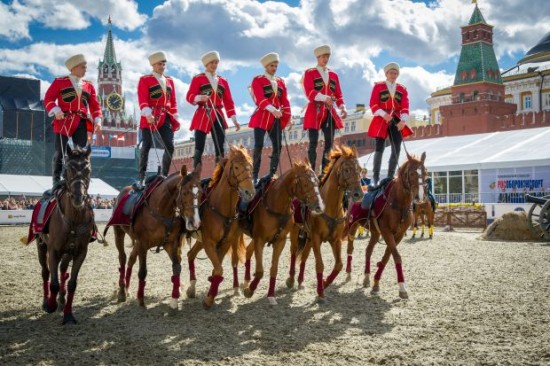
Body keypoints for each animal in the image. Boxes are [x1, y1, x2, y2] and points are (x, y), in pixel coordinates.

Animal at [25, 144, 94, 324]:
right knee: (46, 272)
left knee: (63, 270)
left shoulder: (80, 252)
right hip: (41, 246)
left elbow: (72, 283)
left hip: (67, 252)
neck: (74, 219)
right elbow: (53, 282)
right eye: (68, 168)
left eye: (88, 169)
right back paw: (47, 301)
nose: (78, 197)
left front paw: (68, 314)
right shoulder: (53, 250)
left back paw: (62, 300)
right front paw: (50, 304)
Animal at [105, 163, 203, 308]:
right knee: (122, 258)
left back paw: (127, 288)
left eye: (200, 192)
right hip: (119, 232)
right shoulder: (142, 243)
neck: (161, 210)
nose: (195, 222)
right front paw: (141, 299)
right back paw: (122, 291)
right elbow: (143, 271)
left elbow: (177, 267)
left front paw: (175, 298)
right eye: (185, 192)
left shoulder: (170, 244)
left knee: (131, 259)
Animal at [185, 145, 254, 308]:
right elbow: (218, 270)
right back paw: (191, 287)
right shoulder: (209, 243)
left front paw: (211, 294)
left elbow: (218, 269)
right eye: (236, 167)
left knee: (192, 254)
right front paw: (209, 298)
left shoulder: (224, 243)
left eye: (251, 166)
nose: (249, 192)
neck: (221, 208)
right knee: (190, 255)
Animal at [239, 160, 326, 306]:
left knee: (249, 251)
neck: (275, 205)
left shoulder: (280, 241)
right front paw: (249, 291)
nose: (319, 206)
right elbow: (260, 271)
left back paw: (246, 280)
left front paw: (270, 295)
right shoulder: (260, 240)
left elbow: (274, 268)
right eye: (305, 184)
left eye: (317, 182)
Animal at [286, 146, 364, 304]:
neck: (330, 207)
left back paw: (300, 281)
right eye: (347, 169)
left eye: (359, 169)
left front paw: (325, 282)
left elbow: (339, 265)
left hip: (308, 238)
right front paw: (321, 293)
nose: (359, 194)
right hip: (296, 232)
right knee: (294, 252)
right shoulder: (317, 238)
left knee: (304, 256)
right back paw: (291, 279)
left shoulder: (335, 240)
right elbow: (319, 264)